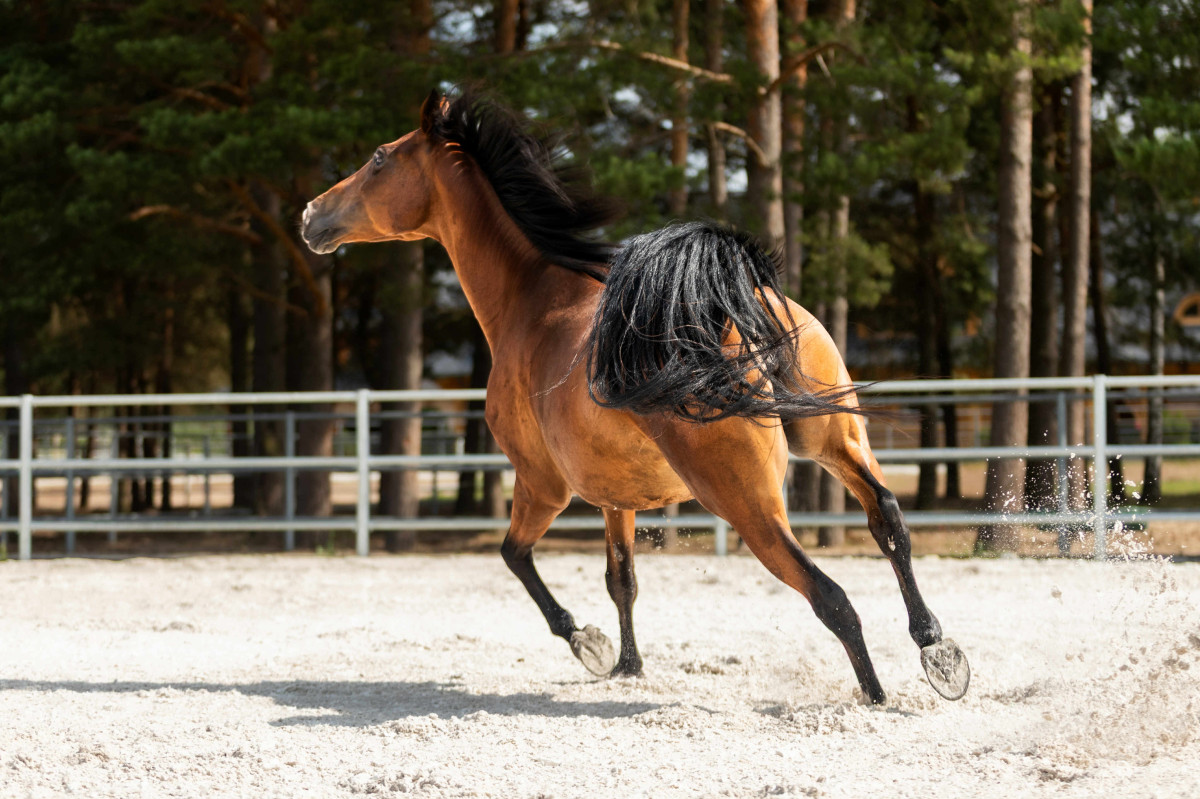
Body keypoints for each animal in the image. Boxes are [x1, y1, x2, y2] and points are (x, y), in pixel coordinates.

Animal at [301, 90, 970, 704]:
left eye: (378, 158)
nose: (311, 213)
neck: (533, 302)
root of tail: (743, 306)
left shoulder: (542, 484)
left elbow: (514, 555)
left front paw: (589, 646)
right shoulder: (613, 496)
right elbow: (621, 579)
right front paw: (628, 666)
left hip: (748, 505)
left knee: (830, 595)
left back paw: (877, 695)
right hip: (835, 442)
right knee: (888, 520)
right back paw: (937, 650)